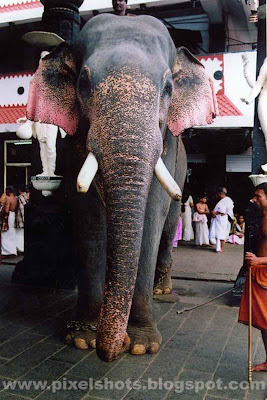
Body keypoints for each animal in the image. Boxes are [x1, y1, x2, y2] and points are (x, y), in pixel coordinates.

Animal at [23, 14, 218, 360]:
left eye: (168, 88)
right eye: (83, 83)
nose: (111, 352)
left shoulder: (166, 146)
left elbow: (152, 216)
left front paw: (141, 344)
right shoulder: (76, 140)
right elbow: (88, 215)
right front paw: (83, 339)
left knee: (169, 225)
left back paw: (162, 290)